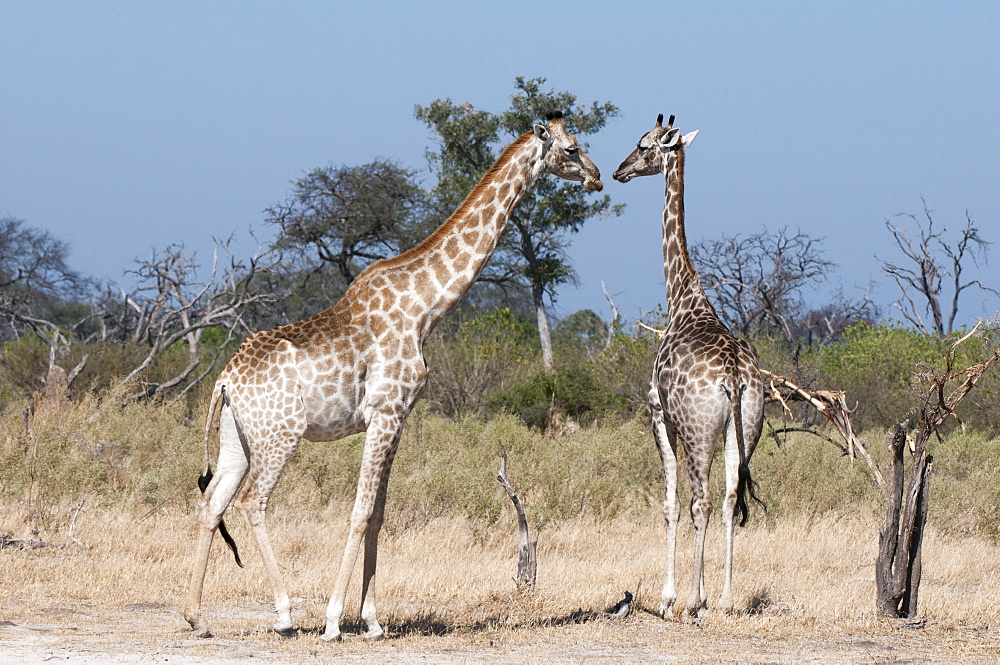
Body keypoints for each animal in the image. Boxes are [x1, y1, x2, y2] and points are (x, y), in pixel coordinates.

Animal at [183, 111, 596, 640]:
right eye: (572, 148)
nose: (597, 176)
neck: (426, 308)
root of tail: (225, 380)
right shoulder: (383, 412)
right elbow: (359, 512)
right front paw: (334, 621)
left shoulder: (398, 417)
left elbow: (379, 514)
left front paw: (374, 621)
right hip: (280, 435)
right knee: (253, 502)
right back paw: (286, 615)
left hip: (238, 437)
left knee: (213, 502)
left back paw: (196, 617)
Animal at [608, 111, 764, 616]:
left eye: (643, 145)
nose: (619, 171)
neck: (682, 297)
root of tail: (733, 377)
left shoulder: (658, 413)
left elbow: (669, 504)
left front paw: (668, 597)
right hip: (744, 427)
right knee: (730, 498)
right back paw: (728, 598)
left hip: (698, 431)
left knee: (702, 501)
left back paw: (697, 600)